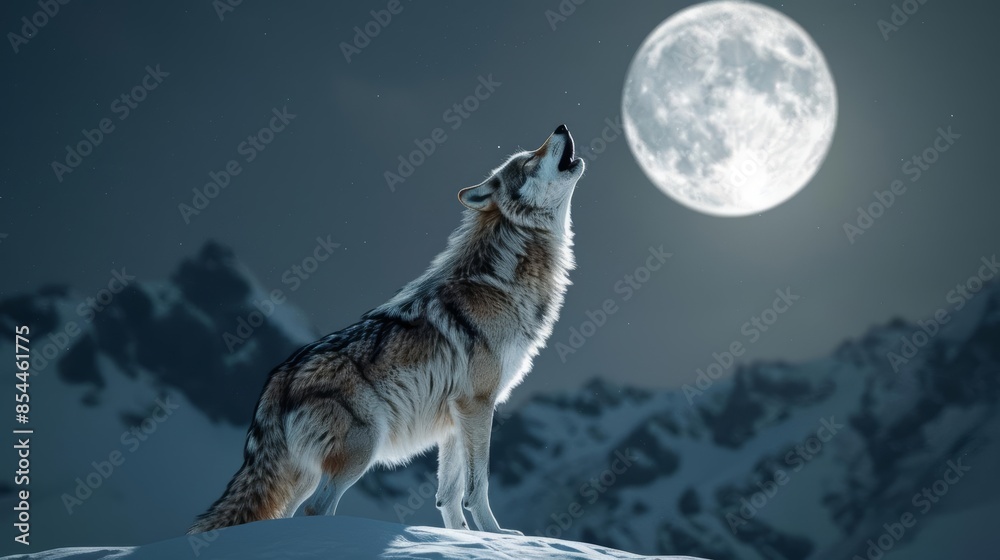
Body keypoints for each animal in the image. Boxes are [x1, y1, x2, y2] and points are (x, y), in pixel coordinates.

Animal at [189, 125, 584, 535]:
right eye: (528, 160)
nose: (561, 127)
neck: (501, 279)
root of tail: (279, 377)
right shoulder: (478, 404)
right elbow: (478, 488)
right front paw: (496, 537)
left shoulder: (454, 417)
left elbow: (449, 497)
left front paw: (460, 540)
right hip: (361, 452)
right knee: (316, 510)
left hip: (304, 475)